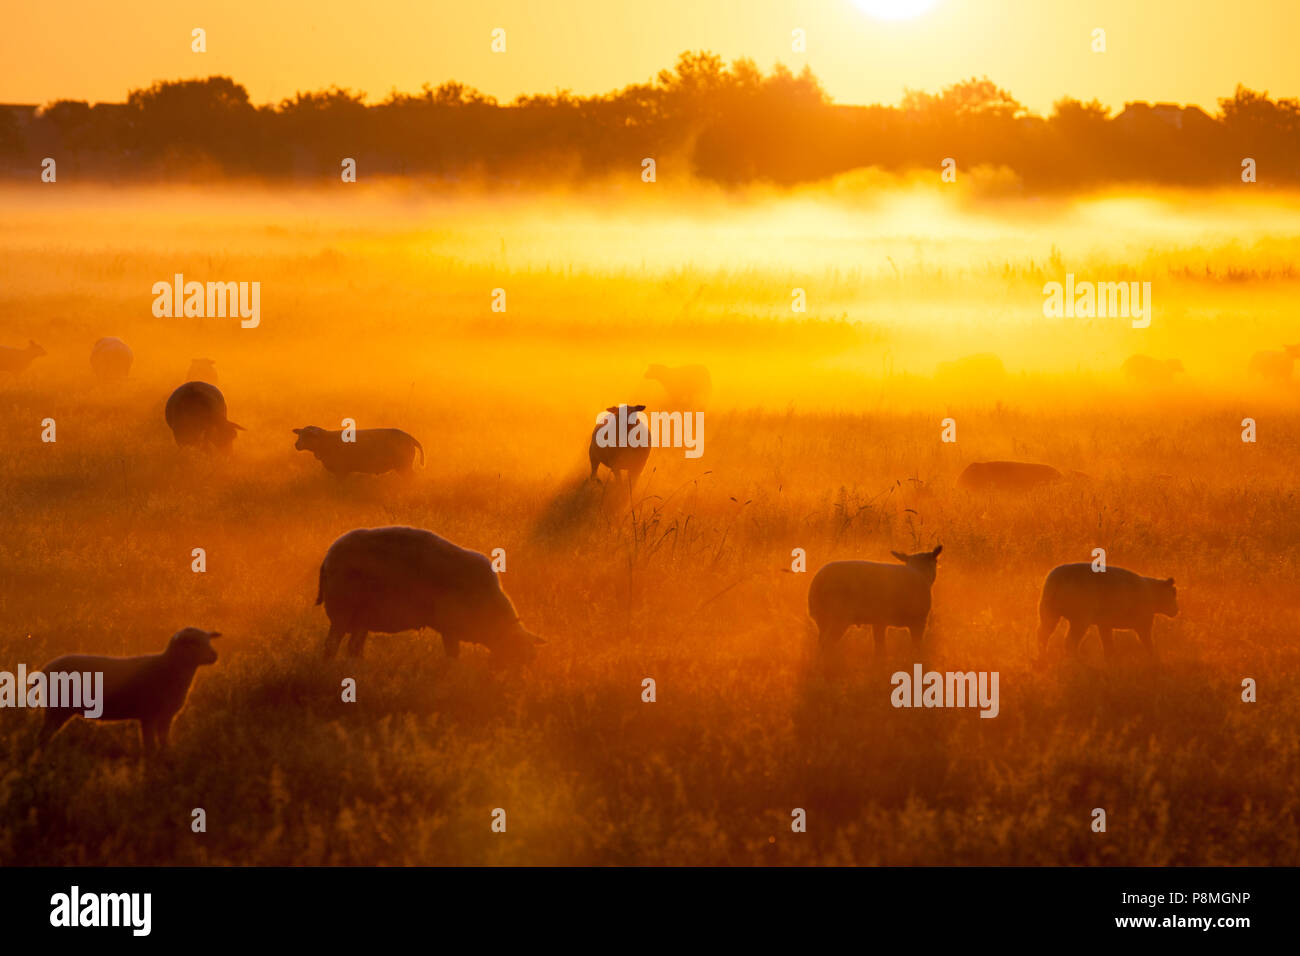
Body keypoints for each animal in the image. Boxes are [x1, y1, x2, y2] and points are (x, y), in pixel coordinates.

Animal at [37, 629, 220, 764]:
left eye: (208, 640)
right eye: (193, 642)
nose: (214, 655)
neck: (169, 667)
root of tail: (46, 668)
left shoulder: (166, 716)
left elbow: (164, 742)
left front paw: (167, 758)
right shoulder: (148, 715)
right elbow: (150, 746)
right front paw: (152, 765)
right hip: (57, 709)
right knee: (43, 736)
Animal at [292, 424, 423, 476]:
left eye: (308, 435)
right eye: (300, 435)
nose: (296, 445)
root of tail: (409, 437)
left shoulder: (341, 470)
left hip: (404, 465)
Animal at [317, 528, 546, 660]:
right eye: (516, 653)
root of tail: (329, 555)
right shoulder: (449, 627)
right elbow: (453, 657)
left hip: (362, 616)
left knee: (353, 648)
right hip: (342, 610)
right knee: (331, 646)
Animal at [806, 546, 941, 650]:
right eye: (935, 562)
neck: (920, 572)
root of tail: (819, 580)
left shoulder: (879, 621)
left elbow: (880, 648)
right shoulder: (919, 621)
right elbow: (916, 647)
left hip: (822, 618)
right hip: (839, 617)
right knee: (827, 645)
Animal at [1034, 564, 1180, 660]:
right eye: (1173, 592)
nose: (1176, 610)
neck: (1152, 592)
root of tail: (1059, 580)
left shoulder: (1105, 624)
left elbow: (1108, 643)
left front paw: (1110, 659)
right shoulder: (1144, 622)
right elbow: (1147, 641)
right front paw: (1154, 657)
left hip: (1048, 611)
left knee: (1042, 635)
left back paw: (1042, 657)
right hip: (1080, 618)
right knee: (1070, 642)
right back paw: (1076, 660)